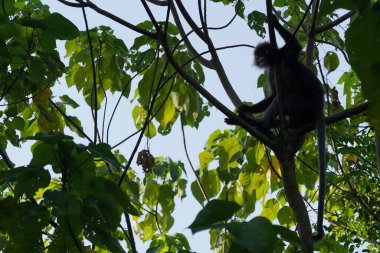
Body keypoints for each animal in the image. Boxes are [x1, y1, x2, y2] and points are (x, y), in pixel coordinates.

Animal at [226, 15, 326, 241]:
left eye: (266, 53)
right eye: (259, 55)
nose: (262, 58)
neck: (275, 62)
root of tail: (320, 105)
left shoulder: (285, 56)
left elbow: (295, 45)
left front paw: (273, 19)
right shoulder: (271, 71)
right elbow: (271, 97)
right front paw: (247, 109)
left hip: (305, 104)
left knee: (286, 99)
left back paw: (259, 125)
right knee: (278, 105)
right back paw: (256, 123)